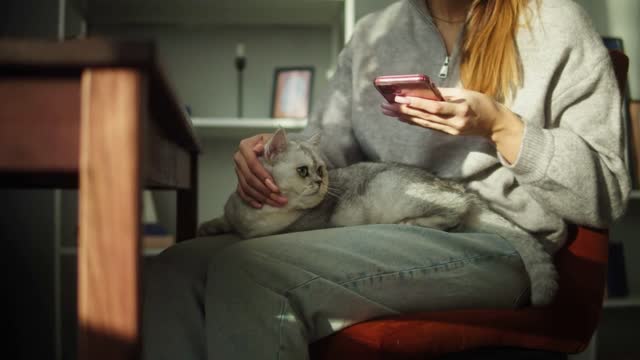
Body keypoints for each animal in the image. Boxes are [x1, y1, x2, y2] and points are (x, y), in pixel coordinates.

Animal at [198, 128, 556, 306]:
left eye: (321, 169)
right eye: (303, 171)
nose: (319, 182)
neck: (254, 216)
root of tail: (460, 187)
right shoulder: (234, 213)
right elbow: (223, 219)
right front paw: (207, 226)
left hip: (394, 189)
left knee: (453, 214)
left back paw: (410, 223)